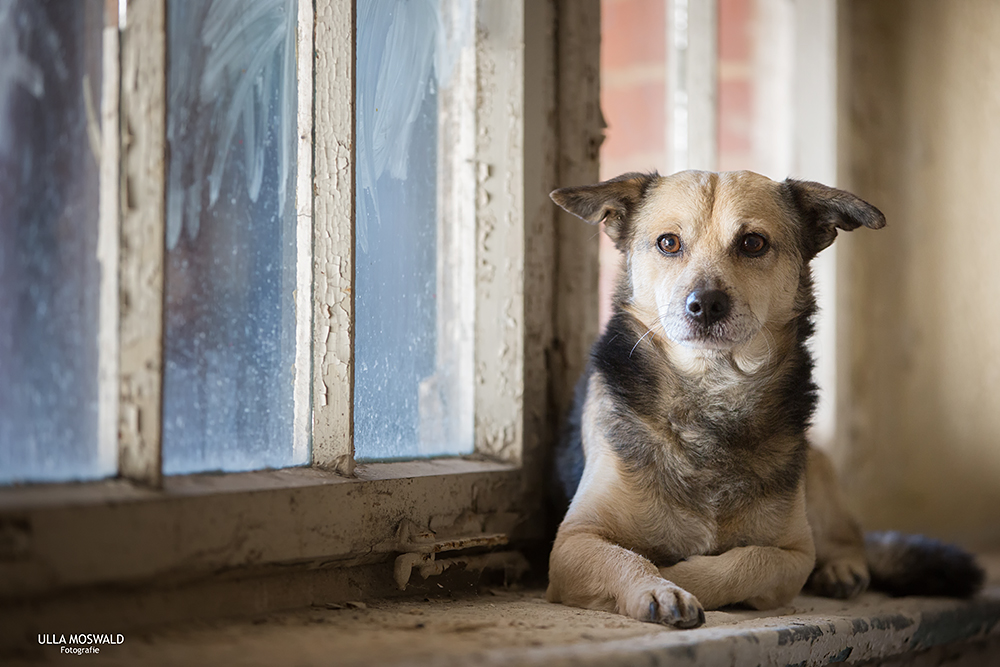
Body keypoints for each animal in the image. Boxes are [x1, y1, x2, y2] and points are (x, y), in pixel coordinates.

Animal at [548, 170, 984, 628]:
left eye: (753, 243)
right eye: (668, 242)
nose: (705, 305)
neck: (713, 390)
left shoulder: (794, 554)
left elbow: (747, 563)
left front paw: (676, 575)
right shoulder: (572, 543)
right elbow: (627, 559)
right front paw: (657, 587)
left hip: (817, 467)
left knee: (851, 540)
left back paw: (842, 569)